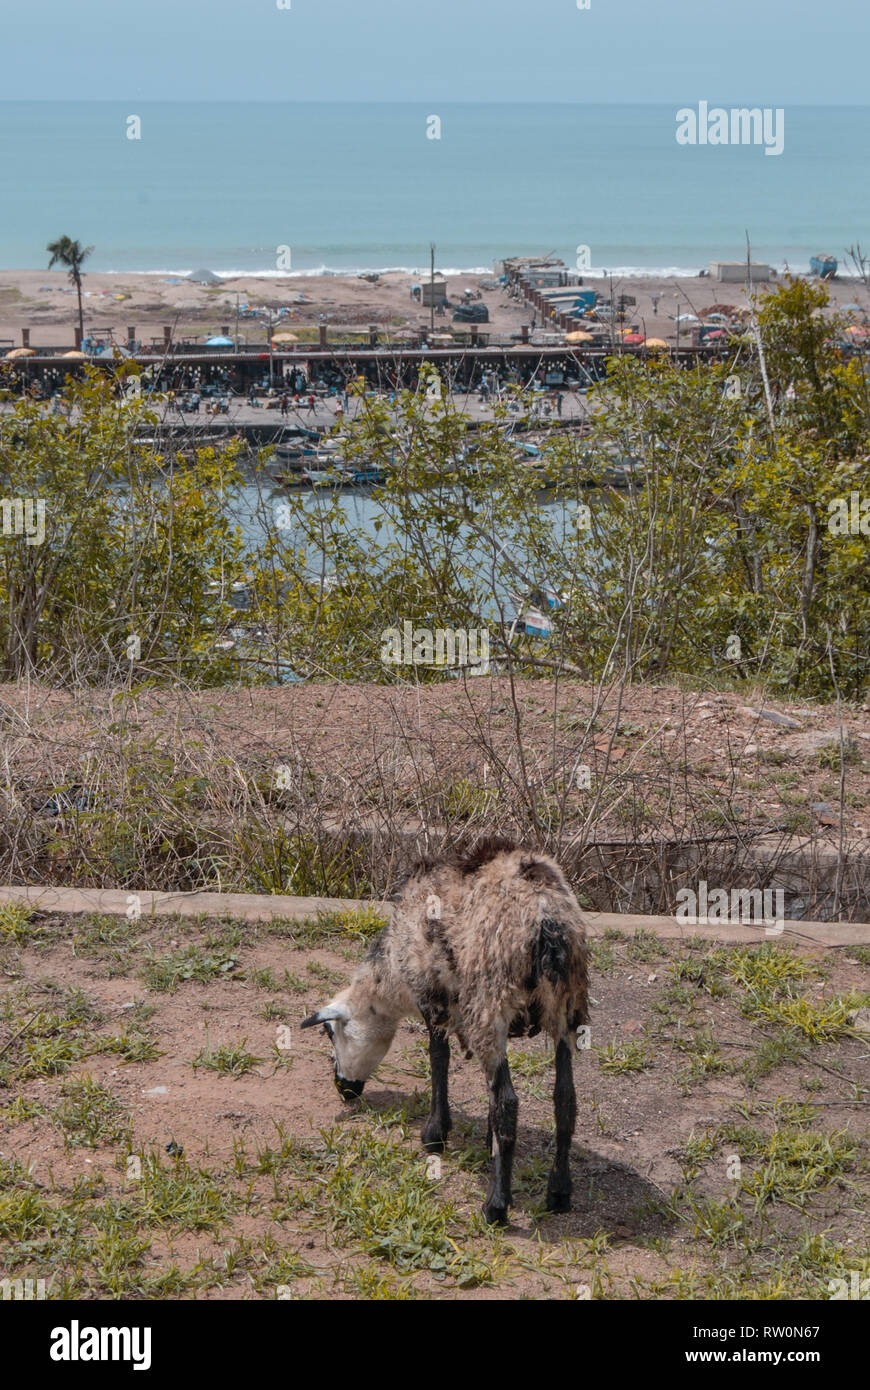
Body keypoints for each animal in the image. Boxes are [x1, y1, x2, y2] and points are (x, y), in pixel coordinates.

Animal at [300, 839, 589, 1223]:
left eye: (331, 1034)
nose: (343, 1090)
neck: (391, 976)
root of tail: (547, 920)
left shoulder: (431, 995)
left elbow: (439, 1058)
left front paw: (435, 1134)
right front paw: (486, 1142)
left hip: (489, 1003)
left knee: (508, 1102)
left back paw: (496, 1205)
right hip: (567, 1007)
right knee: (565, 1098)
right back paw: (559, 1192)